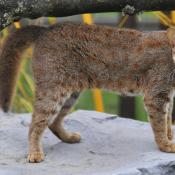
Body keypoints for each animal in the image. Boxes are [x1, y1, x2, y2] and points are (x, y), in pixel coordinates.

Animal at [0, 22, 175, 163]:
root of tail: (46, 29)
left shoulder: (168, 96)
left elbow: (167, 121)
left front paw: (170, 138)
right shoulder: (155, 96)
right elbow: (159, 124)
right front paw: (165, 145)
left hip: (70, 93)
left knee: (53, 122)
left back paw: (69, 138)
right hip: (53, 91)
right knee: (35, 123)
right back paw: (35, 153)